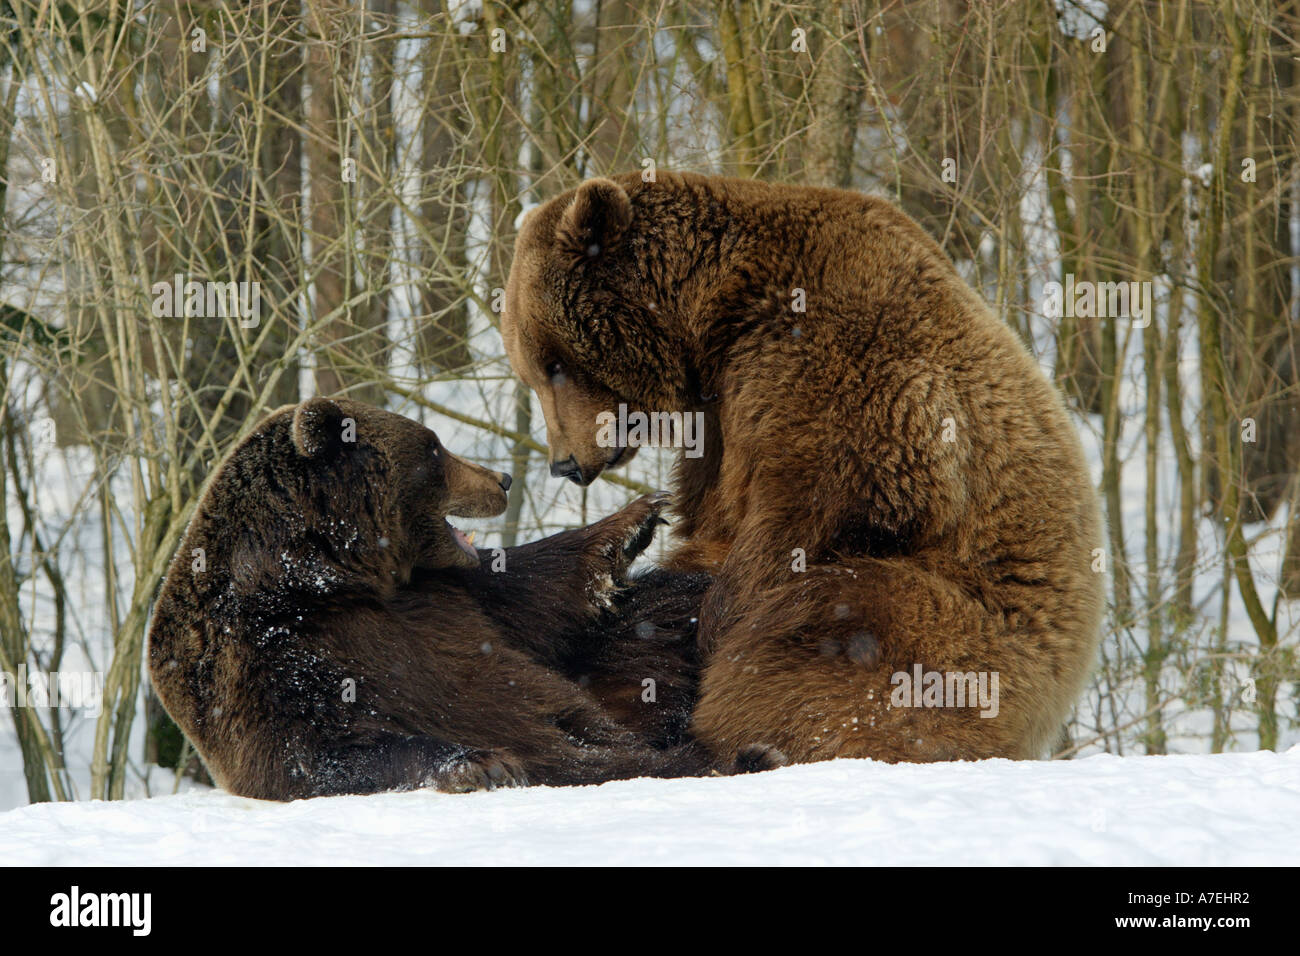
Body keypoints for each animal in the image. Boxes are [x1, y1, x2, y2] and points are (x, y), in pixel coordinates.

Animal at [147, 396, 714, 800]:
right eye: (435, 447)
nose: (503, 478)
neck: (331, 574)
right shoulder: (263, 663)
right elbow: (318, 754)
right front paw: (480, 764)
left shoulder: (444, 594)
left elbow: (535, 594)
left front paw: (636, 517)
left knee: (658, 617)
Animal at [500, 171, 1105, 767]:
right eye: (532, 367)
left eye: (554, 363)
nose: (564, 463)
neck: (711, 320)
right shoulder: (720, 427)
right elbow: (713, 521)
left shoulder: (834, 367)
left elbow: (801, 513)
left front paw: (706, 625)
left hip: (970, 624)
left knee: (827, 621)